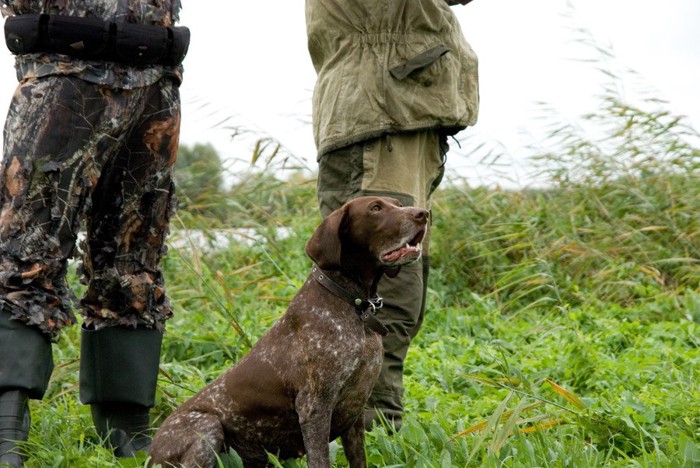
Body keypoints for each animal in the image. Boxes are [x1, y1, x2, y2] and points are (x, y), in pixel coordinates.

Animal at [150, 196, 430, 466]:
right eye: (375, 208)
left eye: (399, 205)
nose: (423, 214)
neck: (353, 304)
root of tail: (150, 451)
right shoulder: (314, 408)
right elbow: (319, 461)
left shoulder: (356, 409)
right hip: (207, 426)